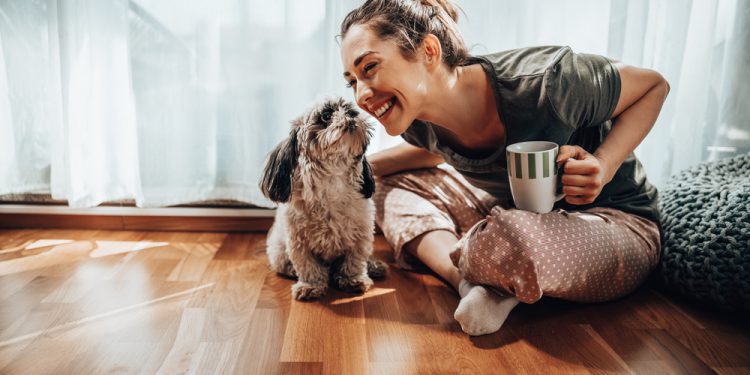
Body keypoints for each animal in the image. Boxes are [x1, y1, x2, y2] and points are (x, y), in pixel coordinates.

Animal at [260, 97, 388, 302]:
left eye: (351, 111)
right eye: (326, 115)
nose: (352, 116)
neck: (332, 179)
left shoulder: (360, 236)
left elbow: (354, 261)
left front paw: (353, 280)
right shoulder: (299, 242)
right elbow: (308, 266)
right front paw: (310, 286)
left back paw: (373, 266)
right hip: (278, 250)